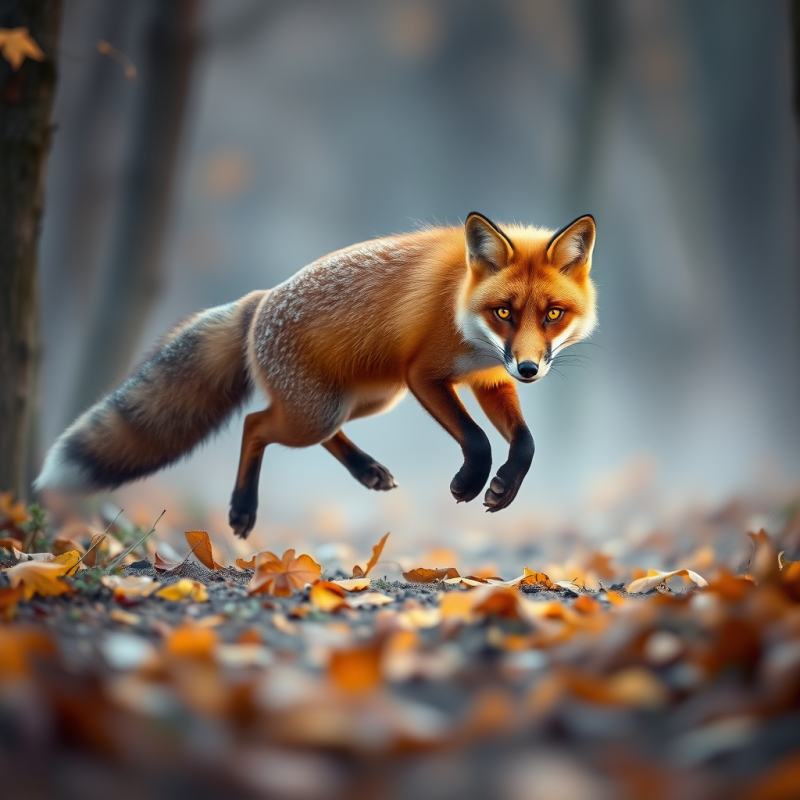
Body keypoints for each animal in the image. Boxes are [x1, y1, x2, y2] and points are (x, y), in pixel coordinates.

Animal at [35, 213, 597, 538]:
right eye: (504, 312)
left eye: (553, 314)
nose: (529, 368)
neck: (462, 306)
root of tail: (260, 299)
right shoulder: (424, 375)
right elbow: (477, 439)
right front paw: (469, 483)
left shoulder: (487, 379)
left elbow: (525, 443)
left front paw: (503, 488)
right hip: (332, 407)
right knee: (256, 424)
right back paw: (242, 509)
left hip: (367, 399)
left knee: (308, 429)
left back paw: (366, 470)